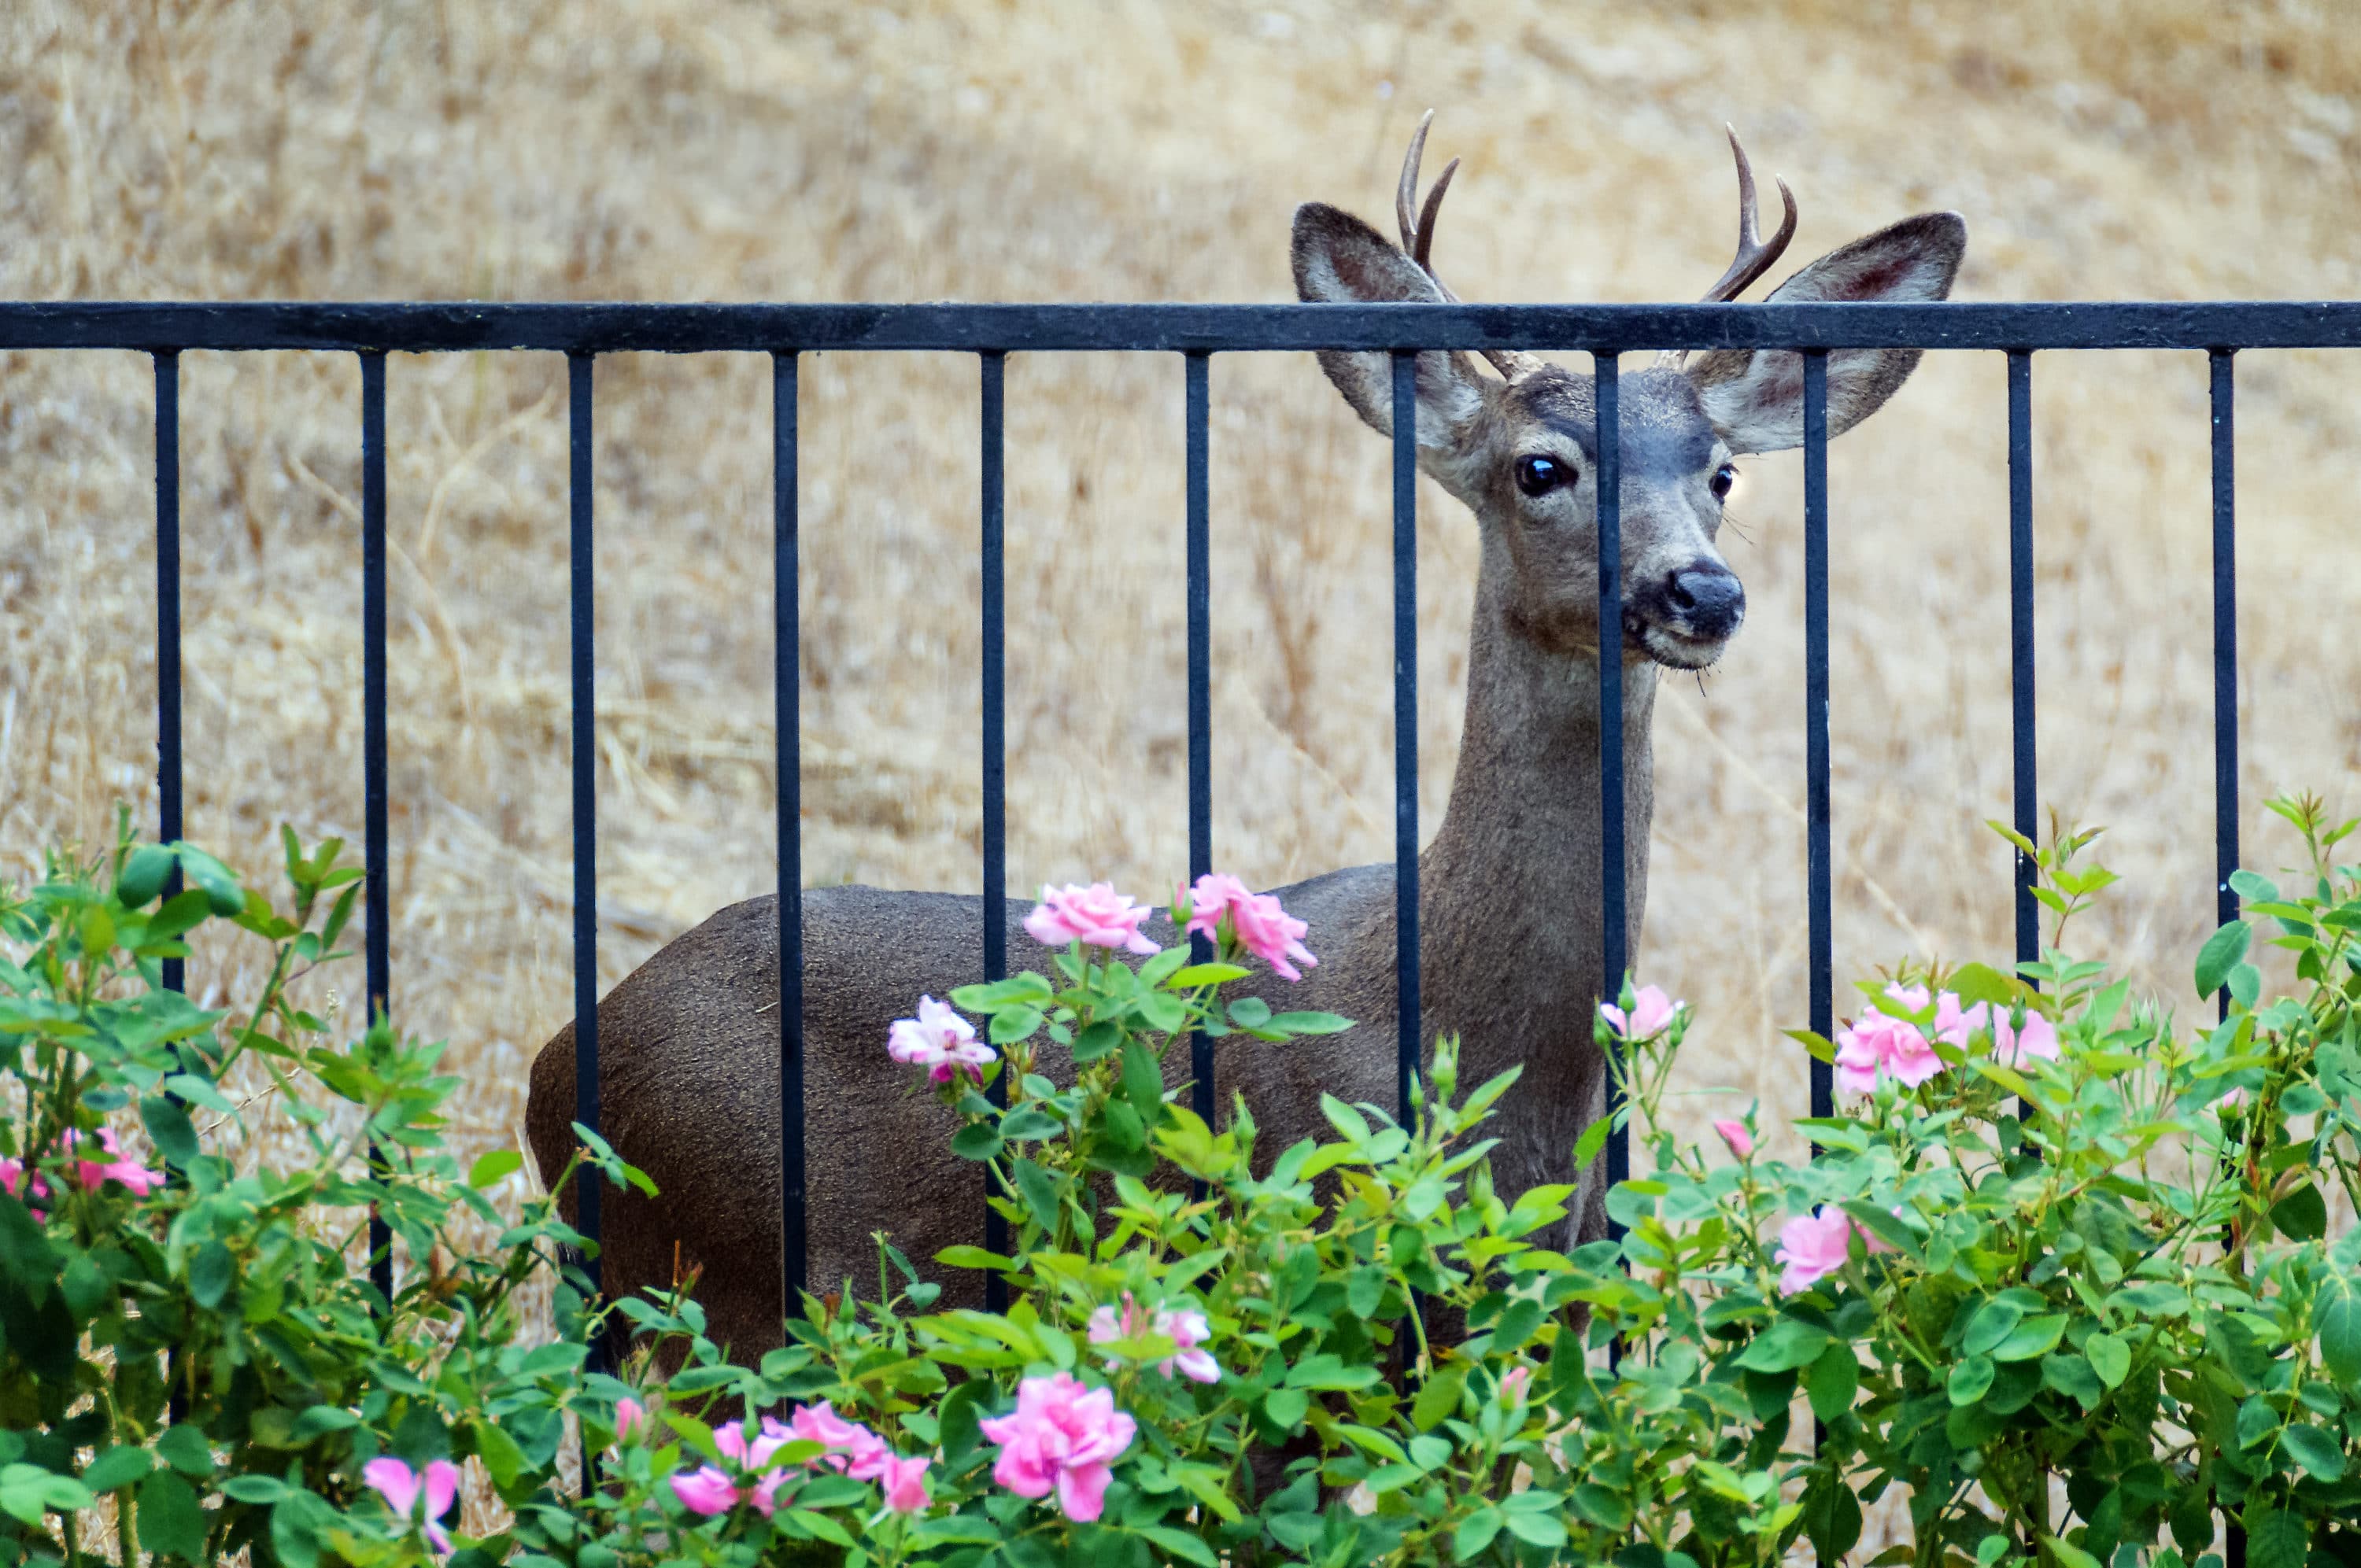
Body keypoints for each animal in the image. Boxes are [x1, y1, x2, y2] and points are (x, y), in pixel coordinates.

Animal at [525, 115, 1966, 1369]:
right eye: (1541, 465)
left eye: (1721, 470)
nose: (1699, 592)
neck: (1490, 1045)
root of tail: (556, 1064)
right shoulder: (1291, 1273)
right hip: (729, 1272)